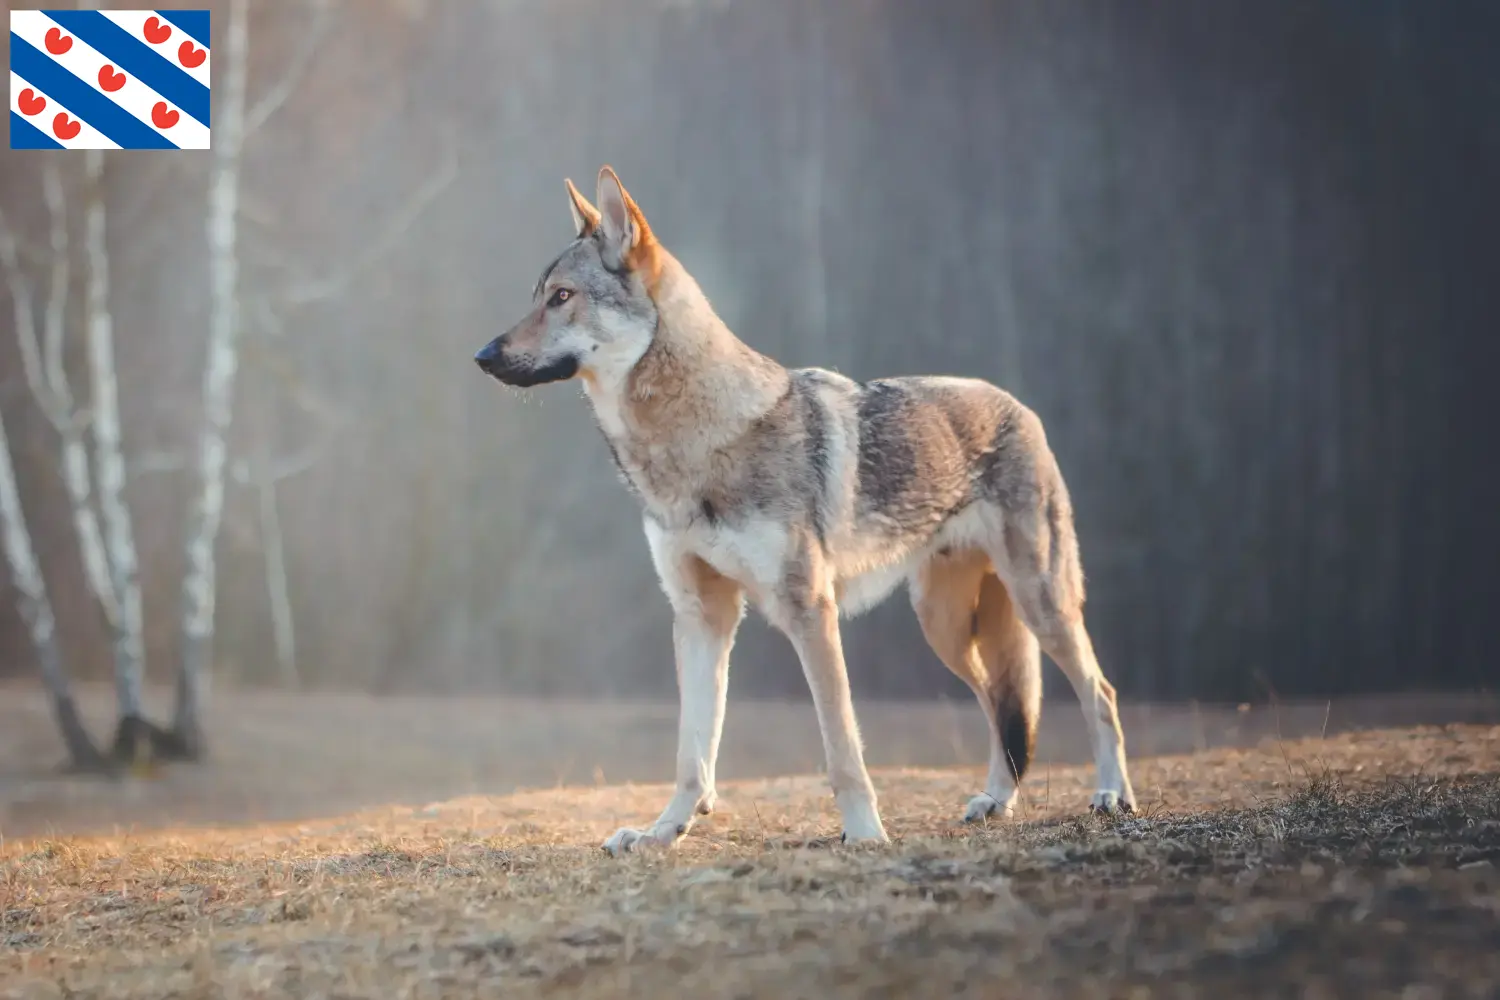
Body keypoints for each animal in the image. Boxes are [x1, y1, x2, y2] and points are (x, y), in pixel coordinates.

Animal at [480, 167, 1134, 857]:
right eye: (537, 296)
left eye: (563, 296)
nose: (483, 355)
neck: (694, 444)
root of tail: (1017, 404)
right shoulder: (701, 616)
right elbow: (692, 755)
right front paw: (663, 833)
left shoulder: (809, 611)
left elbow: (842, 747)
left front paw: (866, 834)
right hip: (946, 627)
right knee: (1002, 703)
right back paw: (996, 800)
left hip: (1040, 604)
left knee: (1099, 693)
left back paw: (1113, 795)